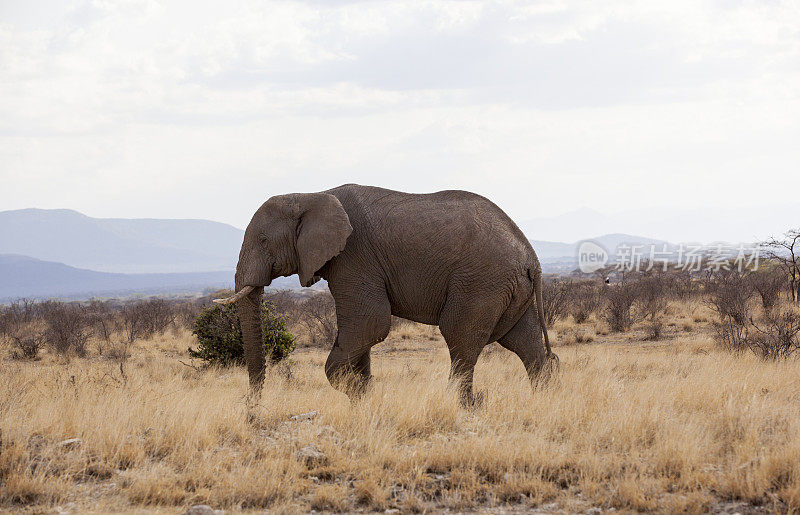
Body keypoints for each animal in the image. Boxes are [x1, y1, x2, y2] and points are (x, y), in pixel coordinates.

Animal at [216, 183, 560, 406]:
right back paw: (542, 402)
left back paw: (461, 405)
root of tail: (532, 257)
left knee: (460, 337)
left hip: (481, 282)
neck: (309, 194)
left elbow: (370, 324)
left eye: (263, 240)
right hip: (509, 288)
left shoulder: (354, 257)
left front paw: (357, 393)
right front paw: (363, 398)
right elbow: (362, 334)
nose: (252, 409)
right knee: (524, 341)